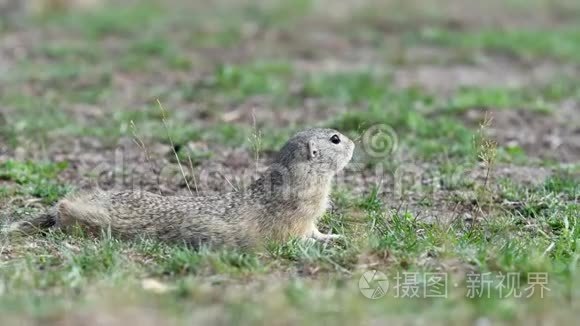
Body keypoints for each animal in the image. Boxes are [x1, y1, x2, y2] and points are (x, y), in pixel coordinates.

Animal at [4, 128, 354, 250]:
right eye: (335, 139)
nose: (354, 143)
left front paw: (335, 235)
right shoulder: (299, 221)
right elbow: (307, 235)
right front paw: (333, 240)